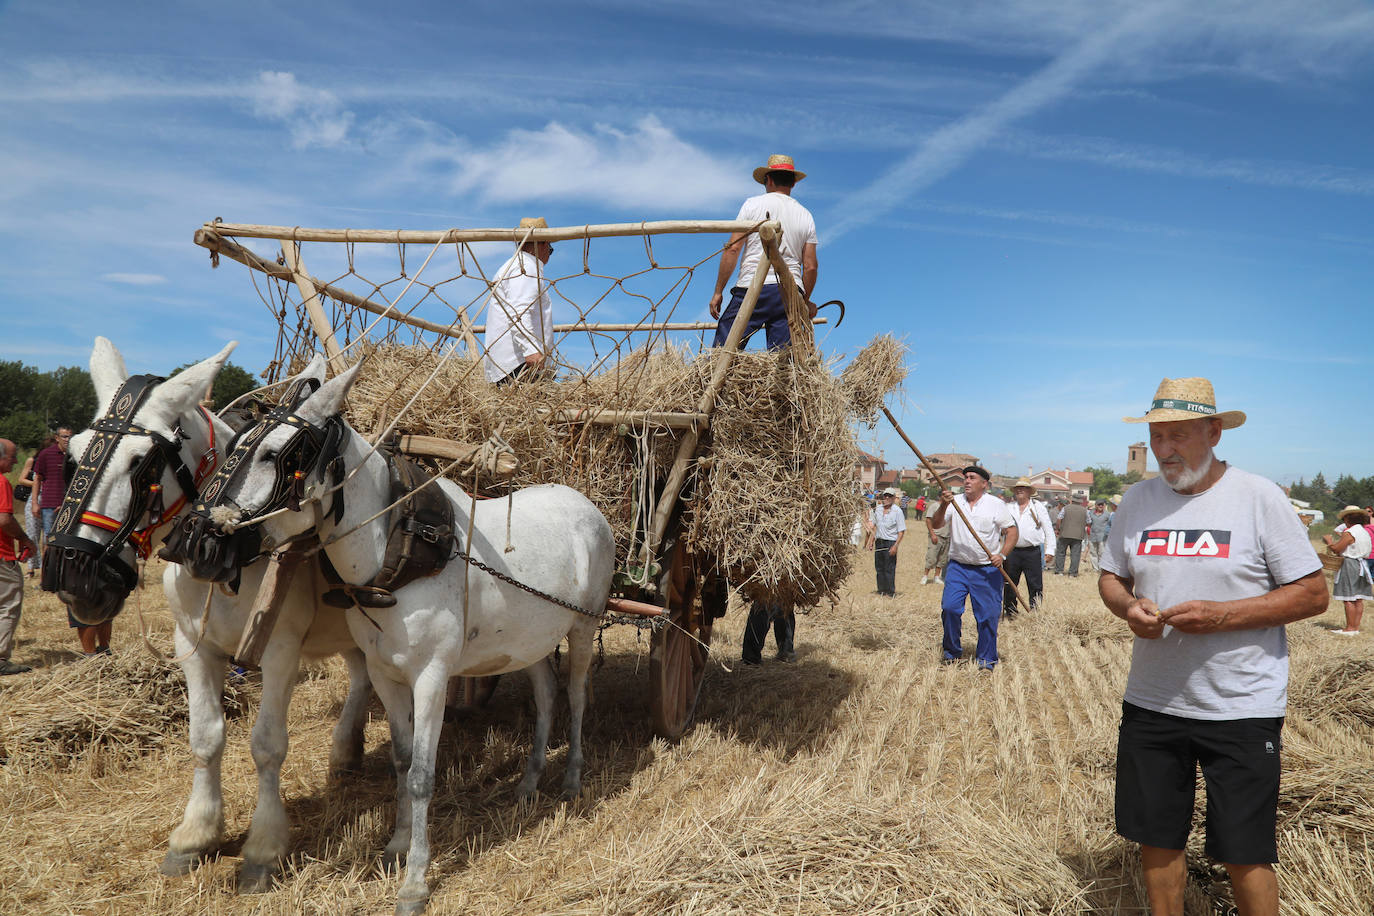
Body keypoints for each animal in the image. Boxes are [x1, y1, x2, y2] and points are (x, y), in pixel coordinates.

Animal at [59, 340, 379, 889]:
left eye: (142, 462)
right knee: (360, 675)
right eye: (75, 453)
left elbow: (267, 744)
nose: (80, 578)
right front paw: (196, 834)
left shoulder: (280, 652)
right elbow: (205, 737)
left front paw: (264, 847)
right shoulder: (194, 648)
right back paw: (346, 750)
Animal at [195, 357, 618, 916]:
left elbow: (421, 774)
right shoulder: (384, 673)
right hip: (530, 640)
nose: (201, 540)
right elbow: (399, 759)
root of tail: (584, 502)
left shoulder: (432, 676)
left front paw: (415, 881)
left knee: (576, 694)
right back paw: (529, 783)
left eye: (274, 454)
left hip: (584, 625)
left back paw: (571, 777)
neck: (401, 547)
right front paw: (396, 845)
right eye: (235, 443)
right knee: (547, 695)